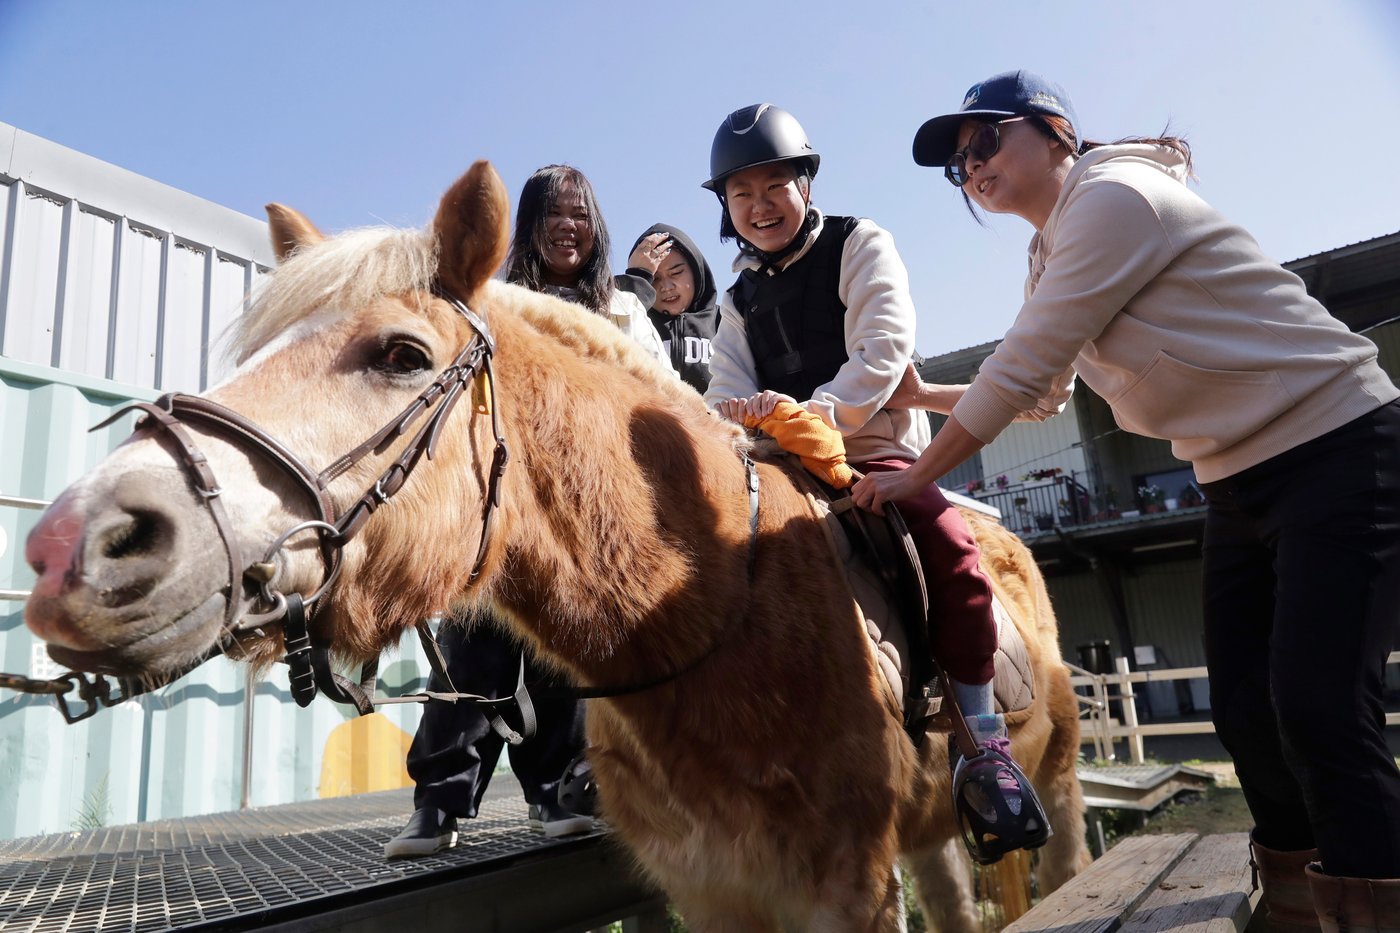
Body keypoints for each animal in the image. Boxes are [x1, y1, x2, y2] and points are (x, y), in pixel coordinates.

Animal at [23, 161, 1090, 932]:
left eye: (402, 355)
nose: (75, 546)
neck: (717, 613)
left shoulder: (844, 887)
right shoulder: (717, 892)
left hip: (1061, 782)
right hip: (930, 837)